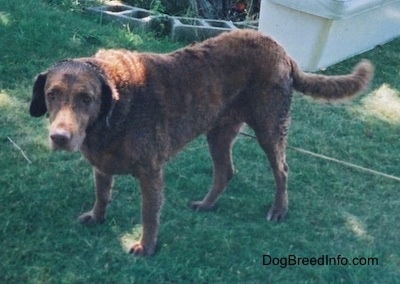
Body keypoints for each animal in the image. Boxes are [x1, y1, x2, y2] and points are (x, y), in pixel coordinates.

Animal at [29, 30, 374, 256]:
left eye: (86, 98)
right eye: (52, 94)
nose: (59, 138)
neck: (115, 108)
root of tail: (282, 51)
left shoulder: (151, 172)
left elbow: (149, 214)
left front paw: (147, 247)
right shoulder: (101, 164)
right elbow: (102, 195)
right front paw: (97, 218)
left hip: (269, 127)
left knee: (282, 171)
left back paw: (278, 210)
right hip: (219, 132)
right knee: (226, 171)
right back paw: (208, 205)